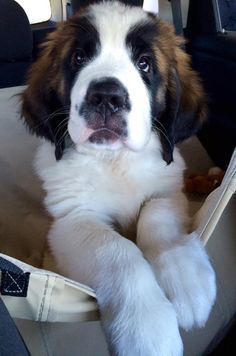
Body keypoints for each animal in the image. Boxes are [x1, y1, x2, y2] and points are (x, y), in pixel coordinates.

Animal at [21, 1, 216, 354]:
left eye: (144, 63)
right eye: (79, 58)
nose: (106, 97)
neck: (114, 160)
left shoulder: (167, 190)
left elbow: (156, 216)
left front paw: (188, 281)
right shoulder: (71, 219)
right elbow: (116, 251)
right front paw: (147, 330)